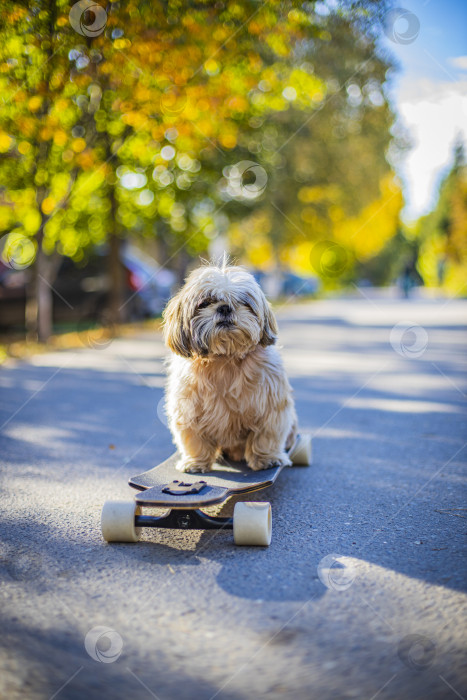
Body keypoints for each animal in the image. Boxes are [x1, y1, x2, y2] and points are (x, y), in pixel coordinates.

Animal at [163, 262, 298, 476]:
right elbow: (194, 439)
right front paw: (196, 461)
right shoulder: (188, 409)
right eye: (205, 302)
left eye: (243, 302)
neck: (225, 358)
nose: (225, 308)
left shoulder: (270, 407)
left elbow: (266, 435)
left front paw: (266, 458)